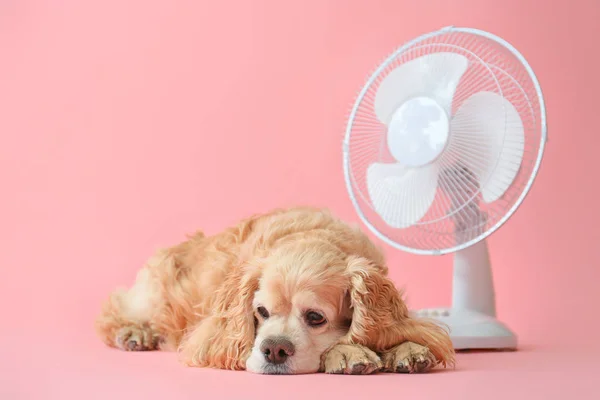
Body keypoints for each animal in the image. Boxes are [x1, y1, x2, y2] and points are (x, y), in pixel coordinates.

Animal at [95, 206, 454, 376]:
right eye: (261, 312)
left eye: (315, 317)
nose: (274, 350)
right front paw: (348, 353)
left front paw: (407, 349)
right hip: (153, 292)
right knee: (113, 312)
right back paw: (135, 333)